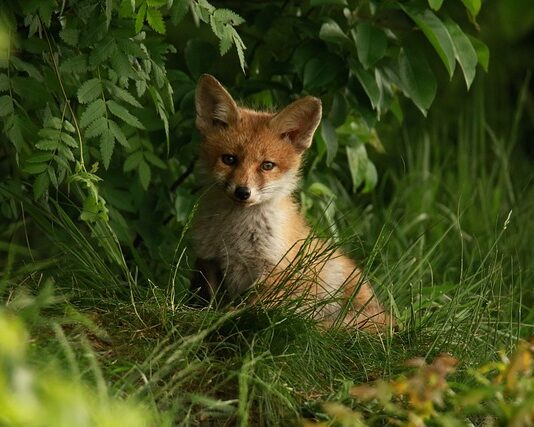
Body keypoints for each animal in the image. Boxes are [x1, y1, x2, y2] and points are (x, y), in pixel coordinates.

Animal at [192, 75, 394, 332]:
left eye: (267, 165)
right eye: (229, 159)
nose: (243, 192)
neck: (235, 235)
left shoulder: (275, 271)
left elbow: (250, 308)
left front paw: (227, 318)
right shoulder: (208, 259)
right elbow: (208, 299)